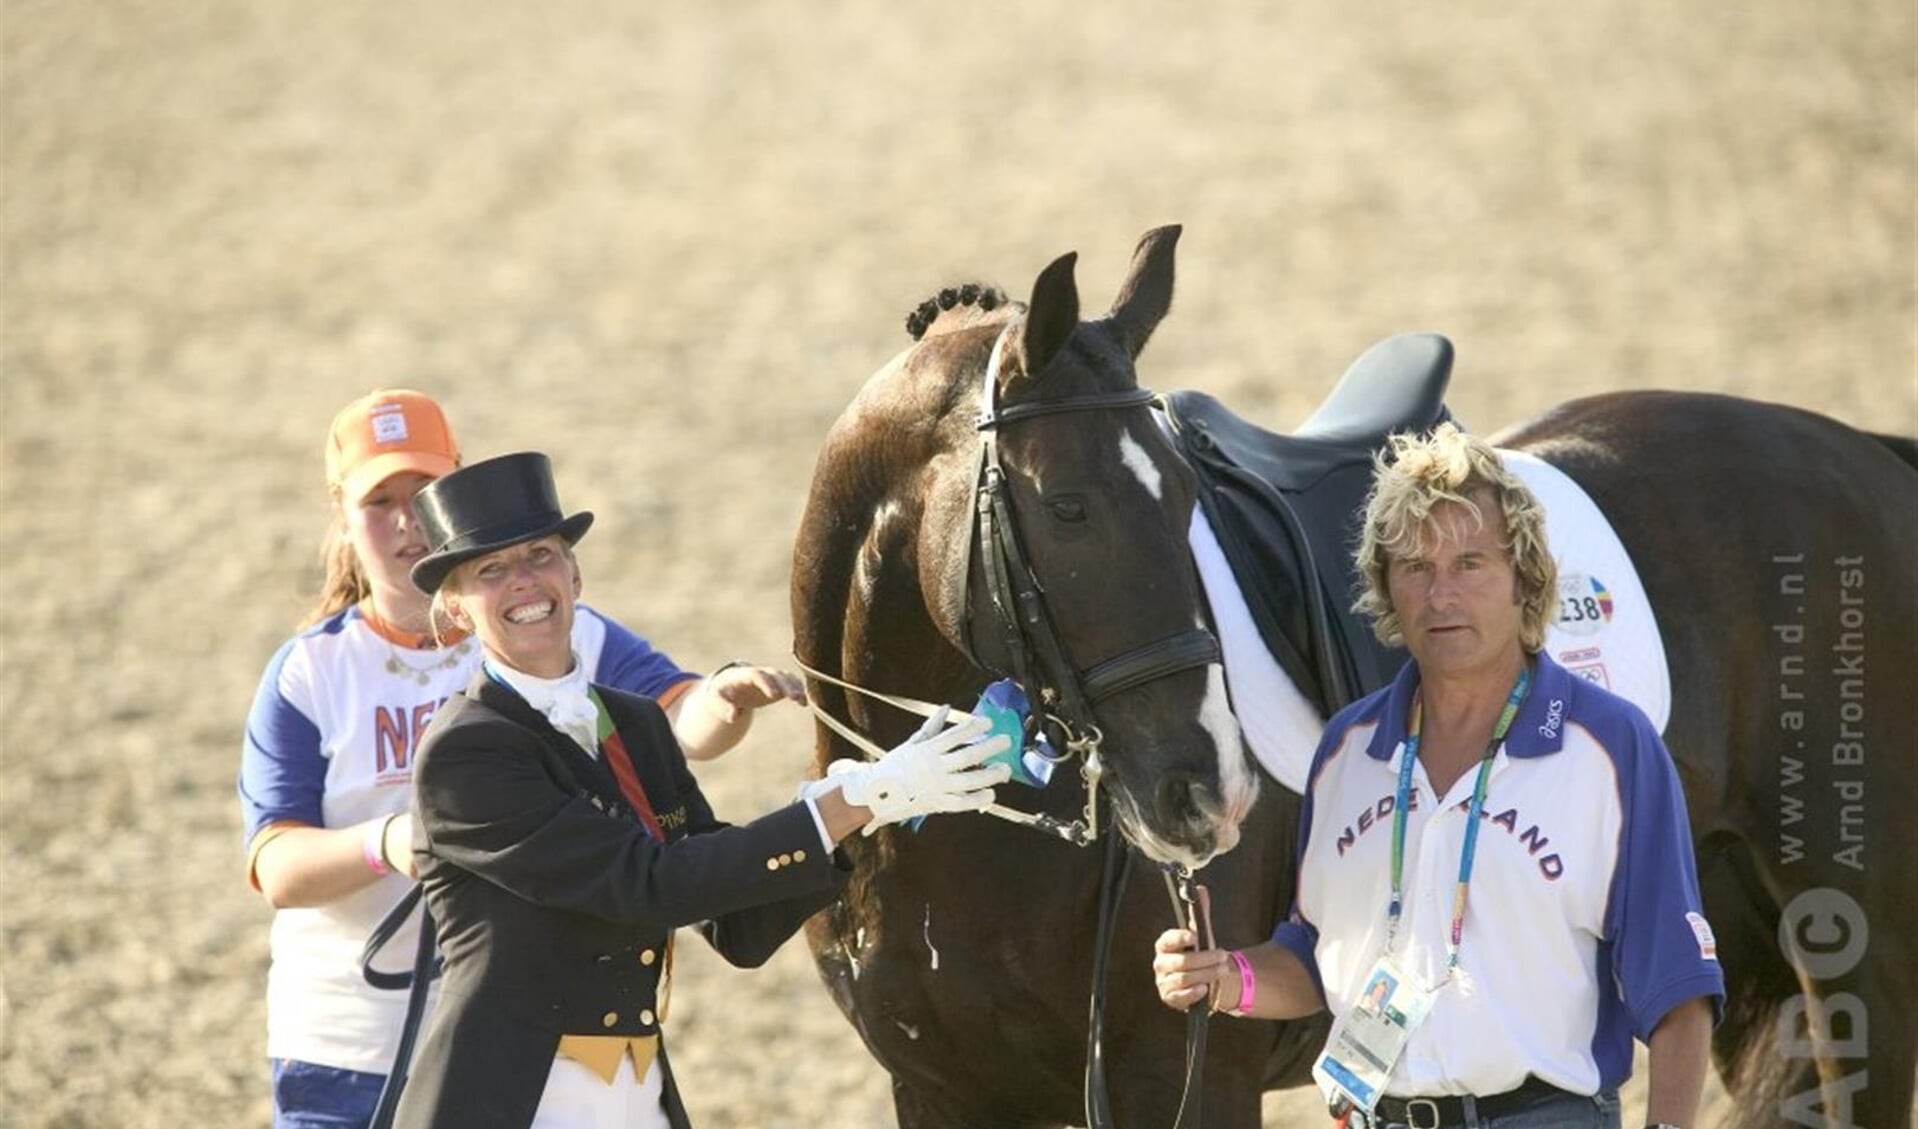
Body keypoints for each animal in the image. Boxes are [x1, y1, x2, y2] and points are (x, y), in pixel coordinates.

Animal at [786, 224, 1910, 1119]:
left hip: (1859, 960)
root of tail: (1861, 454)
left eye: (1187, 497)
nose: (1208, 792)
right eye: (1067, 507)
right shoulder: (939, 1089)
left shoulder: (1189, 1084)